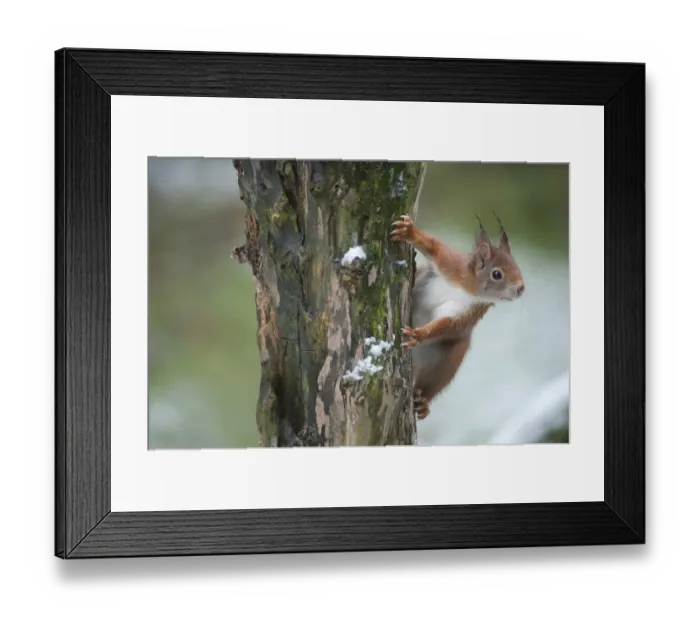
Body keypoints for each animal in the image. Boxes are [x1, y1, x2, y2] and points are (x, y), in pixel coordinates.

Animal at [391, 213, 525, 420]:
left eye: (517, 267)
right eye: (497, 274)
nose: (521, 288)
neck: (471, 290)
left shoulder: (466, 310)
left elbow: (447, 324)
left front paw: (418, 335)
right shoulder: (451, 265)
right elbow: (434, 248)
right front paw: (409, 232)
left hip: (449, 359)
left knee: (432, 383)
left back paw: (423, 402)